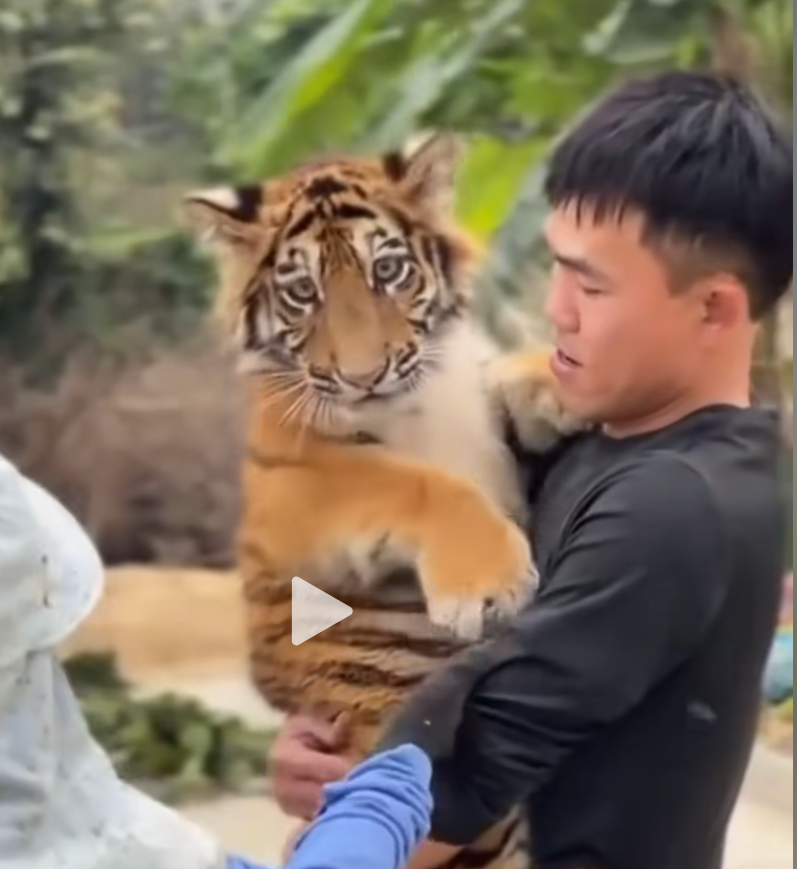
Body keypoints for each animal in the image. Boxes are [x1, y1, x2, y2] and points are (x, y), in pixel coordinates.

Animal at [183, 132, 581, 869]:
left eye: (388, 270)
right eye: (302, 292)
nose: (363, 377)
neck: (422, 397)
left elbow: (501, 379)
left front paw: (560, 381)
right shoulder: (294, 483)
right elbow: (411, 480)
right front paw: (489, 584)